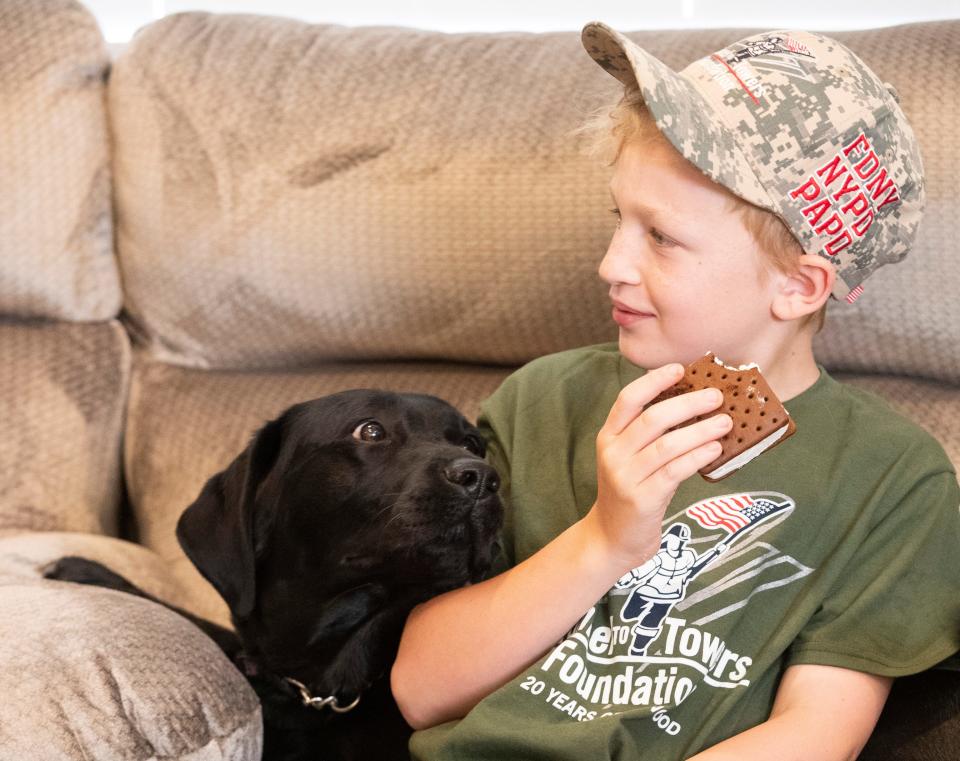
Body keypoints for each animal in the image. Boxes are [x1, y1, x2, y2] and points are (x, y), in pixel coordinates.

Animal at [47, 392, 502, 760]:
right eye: (371, 431)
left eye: (472, 444)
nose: (482, 478)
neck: (317, 692)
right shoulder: (254, 657)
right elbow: (213, 627)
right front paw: (88, 571)